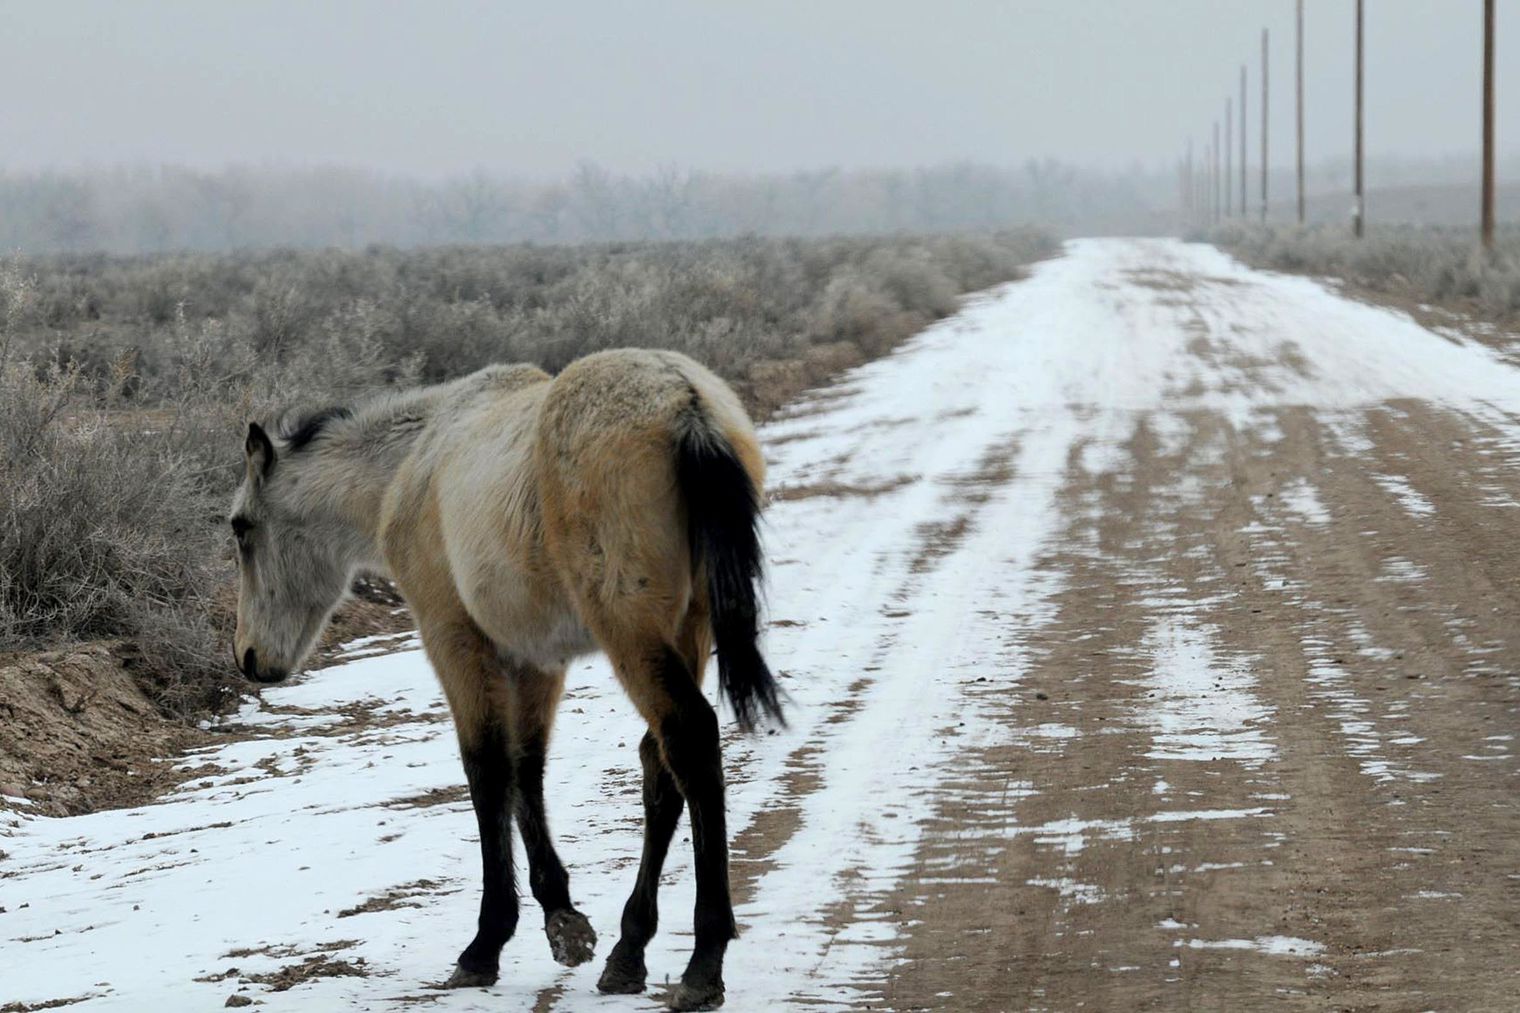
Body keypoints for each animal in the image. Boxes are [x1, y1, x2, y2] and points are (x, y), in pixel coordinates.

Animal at [228, 348, 785, 1011]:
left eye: (240, 527)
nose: (250, 658)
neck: (416, 463)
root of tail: (686, 403)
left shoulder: (455, 641)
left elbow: (488, 769)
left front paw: (486, 943)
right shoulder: (533, 659)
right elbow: (527, 768)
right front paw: (562, 918)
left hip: (631, 630)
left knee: (689, 739)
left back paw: (703, 963)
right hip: (687, 627)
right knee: (660, 763)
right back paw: (629, 951)